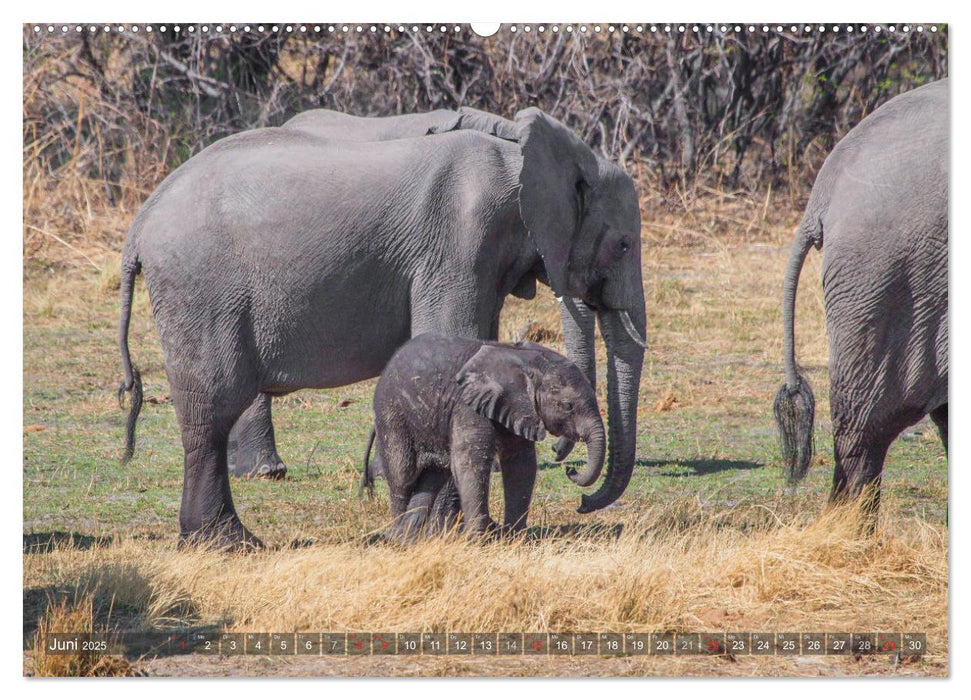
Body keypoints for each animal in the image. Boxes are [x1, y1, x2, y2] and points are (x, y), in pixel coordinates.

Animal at [368, 330, 604, 540]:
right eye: (567, 406)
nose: (570, 469)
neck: (523, 359)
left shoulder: (517, 408)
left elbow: (521, 464)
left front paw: (514, 538)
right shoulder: (466, 405)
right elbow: (470, 462)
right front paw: (476, 540)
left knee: (433, 477)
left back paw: (407, 538)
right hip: (391, 414)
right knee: (402, 475)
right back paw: (397, 537)